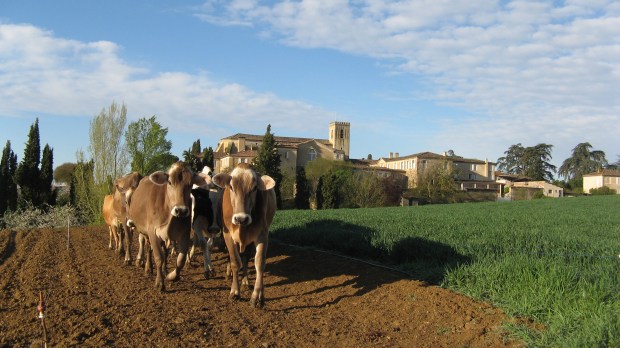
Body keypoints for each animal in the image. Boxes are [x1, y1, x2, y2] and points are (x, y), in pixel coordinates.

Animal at [128, 161, 211, 290]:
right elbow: (158, 257)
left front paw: (171, 276)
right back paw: (148, 268)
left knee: (164, 252)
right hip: (145, 232)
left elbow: (180, 260)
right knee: (148, 248)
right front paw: (159, 283)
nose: (181, 210)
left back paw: (164, 270)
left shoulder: (184, 233)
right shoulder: (153, 232)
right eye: (170, 182)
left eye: (190, 184)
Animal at [212, 163, 274, 308]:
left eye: (255, 188)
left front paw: (257, 296)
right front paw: (235, 291)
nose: (241, 218)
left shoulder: (262, 235)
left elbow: (259, 263)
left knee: (246, 258)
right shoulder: (227, 235)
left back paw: (246, 280)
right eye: (231, 187)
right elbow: (235, 262)